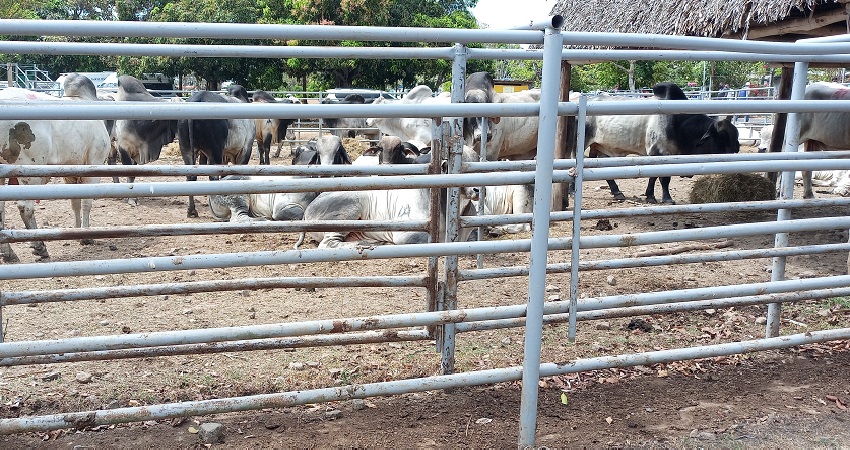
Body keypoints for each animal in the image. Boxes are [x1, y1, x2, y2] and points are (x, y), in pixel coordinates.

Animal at [0, 83, 111, 264]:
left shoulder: (70, 173)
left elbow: (75, 202)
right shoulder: (94, 165)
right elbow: (87, 203)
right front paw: (87, 236)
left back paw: (9, 253)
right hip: (29, 168)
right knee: (25, 207)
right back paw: (39, 247)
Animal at [584, 82, 736, 204]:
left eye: (735, 138)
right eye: (721, 138)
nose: (735, 153)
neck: (678, 124)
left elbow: (655, 176)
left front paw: (650, 196)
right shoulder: (659, 152)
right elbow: (663, 178)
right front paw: (666, 198)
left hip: (600, 147)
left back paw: (617, 192)